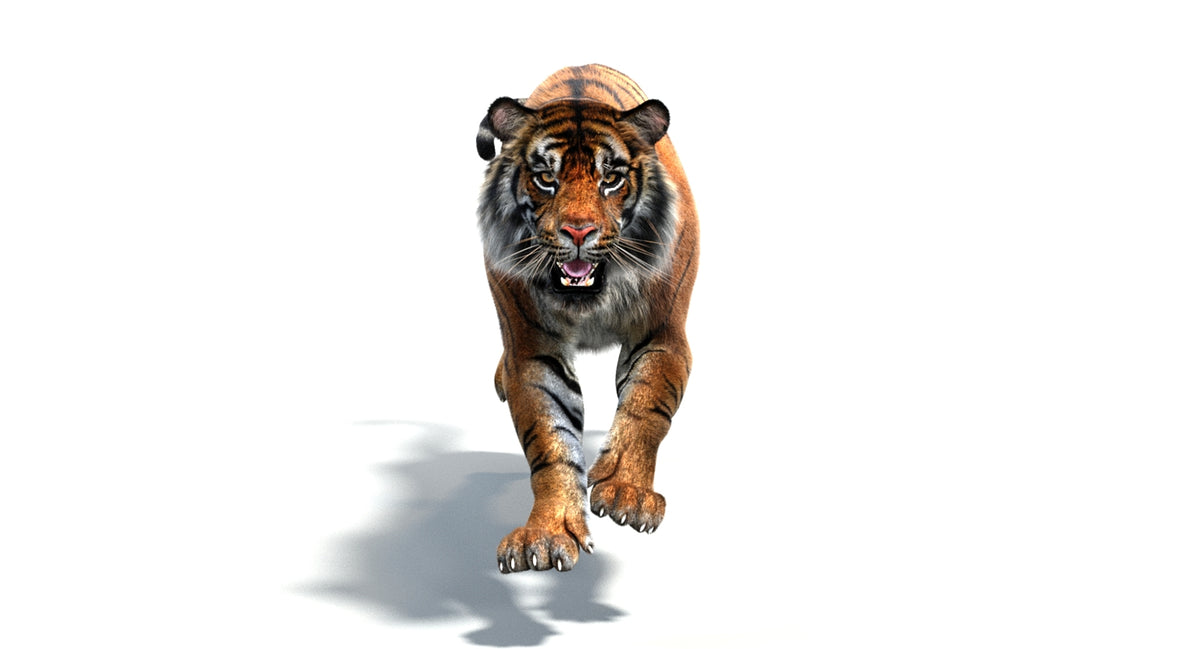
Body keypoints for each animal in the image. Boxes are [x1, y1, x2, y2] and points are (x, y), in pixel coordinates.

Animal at [475, 64, 699, 573]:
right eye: (545, 178)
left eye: (610, 179)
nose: (579, 232)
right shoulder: (533, 350)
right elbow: (550, 437)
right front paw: (548, 533)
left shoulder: (662, 335)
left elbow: (646, 408)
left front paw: (627, 493)